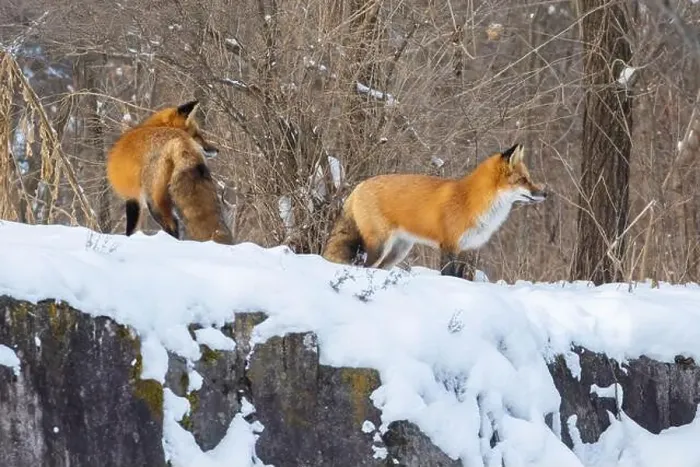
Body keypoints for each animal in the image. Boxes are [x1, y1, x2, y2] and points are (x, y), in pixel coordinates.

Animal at [106, 100, 233, 245]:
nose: (217, 150)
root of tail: (179, 140)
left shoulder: (132, 197)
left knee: (172, 226)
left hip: (154, 202)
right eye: (196, 135)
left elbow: (131, 230)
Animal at [322, 143, 547, 276]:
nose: (545, 194)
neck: (472, 201)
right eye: (523, 180)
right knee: (366, 267)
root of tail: (359, 186)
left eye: (529, 178)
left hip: (398, 251)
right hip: (379, 245)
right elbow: (449, 275)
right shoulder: (449, 246)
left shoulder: (466, 250)